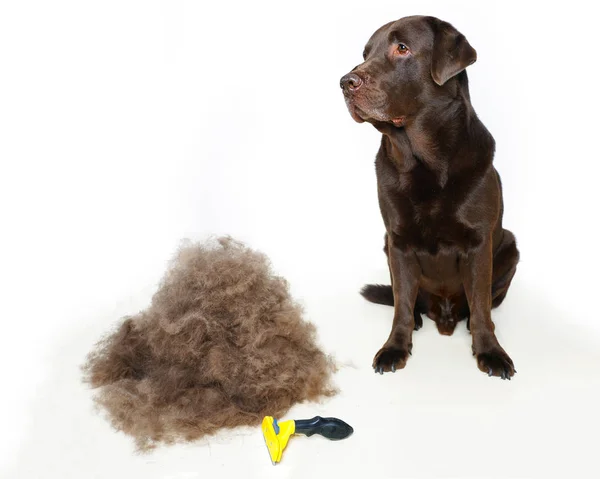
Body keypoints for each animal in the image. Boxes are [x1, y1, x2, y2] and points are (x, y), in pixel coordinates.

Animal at [342, 16, 520, 380]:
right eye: (366, 53)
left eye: (402, 48)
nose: (344, 82)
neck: (424, 162)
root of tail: (443, 315)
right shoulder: (397, 241)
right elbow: (401, 304)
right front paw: (395, 347)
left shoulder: (479, 243)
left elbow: (481, 305)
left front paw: (490, 351)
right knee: (407, 300)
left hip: (510, 245)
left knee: (483, 305)